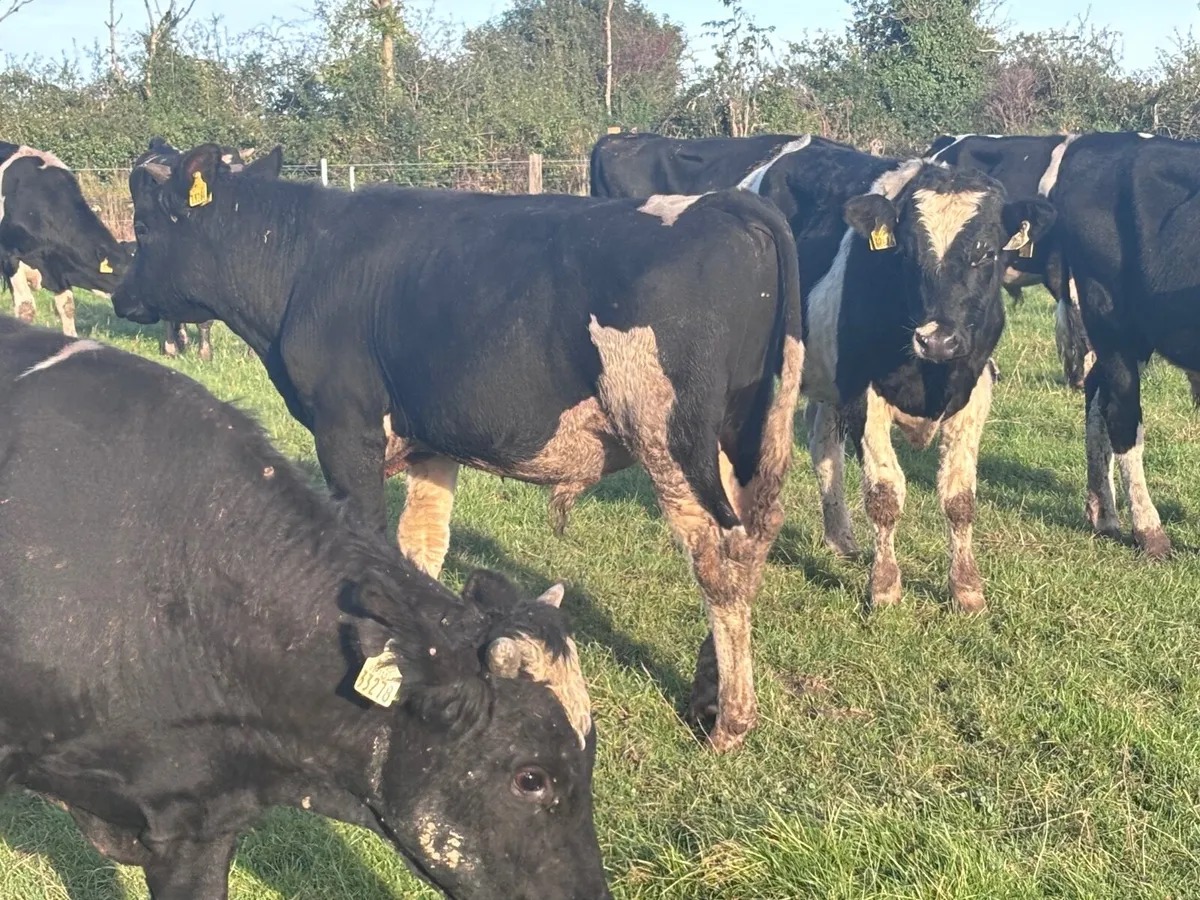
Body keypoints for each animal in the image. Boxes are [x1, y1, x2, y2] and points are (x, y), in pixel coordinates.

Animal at [112, 143, 803, 753]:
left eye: (143, 225)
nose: (119, 297)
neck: (304, 262)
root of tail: (720, 204)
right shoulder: (427, 439)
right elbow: (421, 547)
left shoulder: (345, 428)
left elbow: (367, 542)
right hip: (738, 437)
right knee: (751, 537)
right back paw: (705, 699)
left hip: (668, 435)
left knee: (716, 558)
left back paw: (729, 725)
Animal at [1039, 131, 1200, 560]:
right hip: (1110, 316)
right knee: (1122, 417)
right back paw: (1148, 531)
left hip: (1130, 338)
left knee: (1097, 397)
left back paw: (1103, 512)